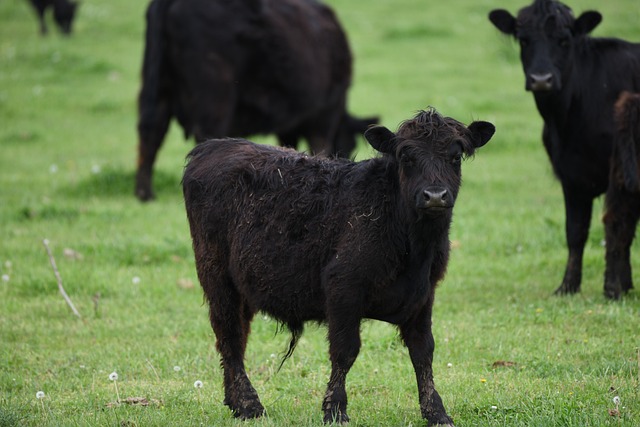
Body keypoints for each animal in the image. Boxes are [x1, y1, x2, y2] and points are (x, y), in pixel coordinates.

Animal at [135, 0, 376, 202]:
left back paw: (145, 194)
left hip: (158, 88)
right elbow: (320, 147)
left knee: (150, 134)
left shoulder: (290, 125)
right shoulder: (325, 112)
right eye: (350, 145)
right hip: (215, 97)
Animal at [182, 109, 498, 424]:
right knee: (229, 335)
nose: (434, 195)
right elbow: (345, 350)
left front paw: (436, 411)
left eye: (455, 156)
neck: (412, 247)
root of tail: (214, 146)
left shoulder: (423, 294)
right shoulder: (343, 289)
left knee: (236, 337)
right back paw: (249, 404)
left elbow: (423, 351)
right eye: (407, 157)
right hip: (218, 278)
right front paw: (335, 409)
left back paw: (236, 403)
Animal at [488, 0, 640, 300]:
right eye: (524, 40)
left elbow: (617, 223)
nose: (541, 79)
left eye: (564, 40)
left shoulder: (620, 169)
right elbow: (576, 231)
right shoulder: (571, 176)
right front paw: (568, 286)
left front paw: (614, 288)